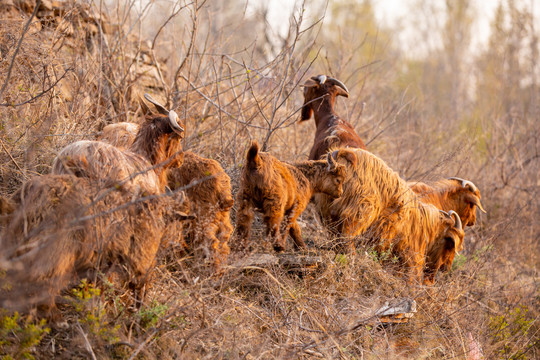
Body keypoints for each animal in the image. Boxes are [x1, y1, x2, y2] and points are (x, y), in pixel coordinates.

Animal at [316, 148, 464, 282]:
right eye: (451, 246)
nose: (446, 268)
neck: (427, 227)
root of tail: (344, 152)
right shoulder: (412, 258)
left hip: (328, 210)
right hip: (361, 210)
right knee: (348, 234)